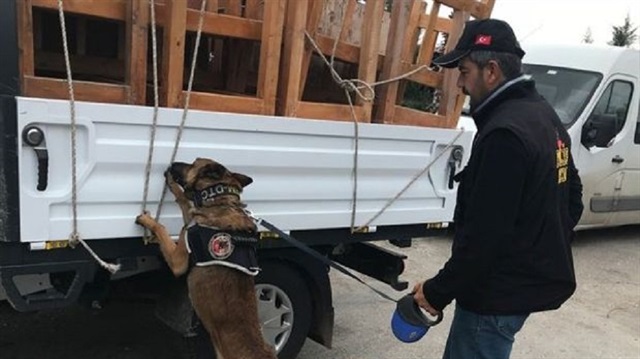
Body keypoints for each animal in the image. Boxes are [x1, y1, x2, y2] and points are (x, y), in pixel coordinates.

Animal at [135, 158, 276, 359]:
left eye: (193, 163)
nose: (172, 164)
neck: (220, 200)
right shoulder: (190, 218)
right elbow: (184, 201)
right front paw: (173, 186)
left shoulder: (178, 261)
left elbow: (161, 228)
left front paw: (148, 221)